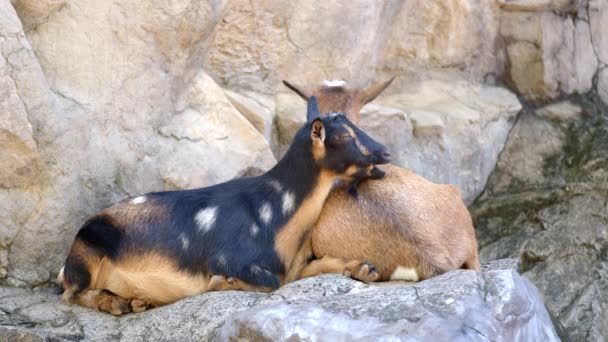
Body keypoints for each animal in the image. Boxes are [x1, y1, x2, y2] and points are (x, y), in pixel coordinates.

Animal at [58, 97, 390, 316]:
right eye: (344, 135)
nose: (385, 152)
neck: (275, 212)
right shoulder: (230, 255)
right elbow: (270, 281)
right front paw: (224, 282)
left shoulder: (294, 266)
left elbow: (314, 268)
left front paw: (363, 268)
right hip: (86, 257)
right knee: (71, 294)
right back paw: (114, 303)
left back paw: (141, 301)